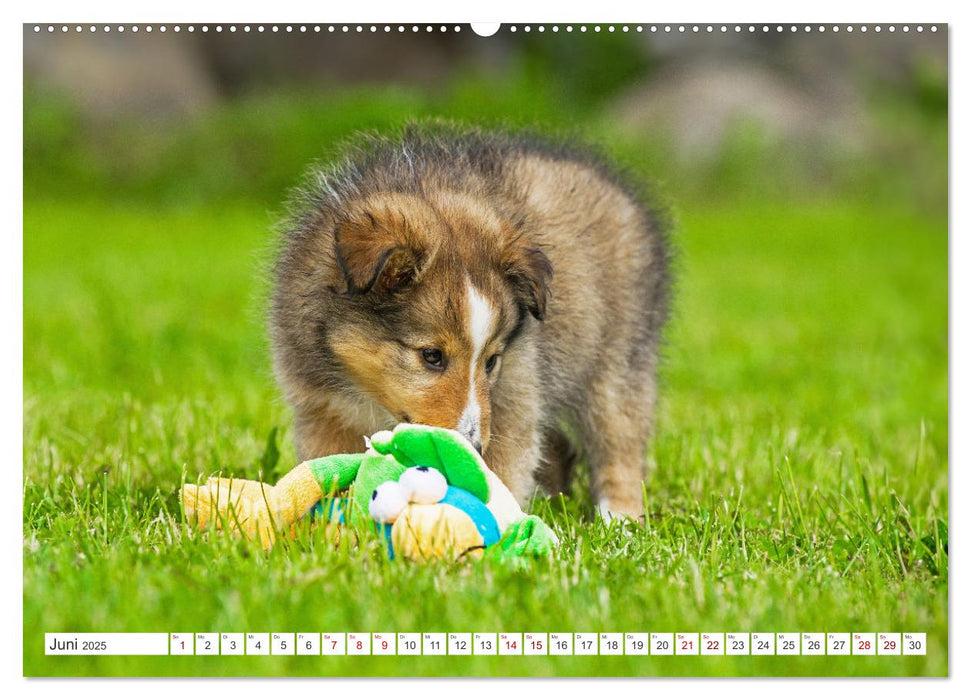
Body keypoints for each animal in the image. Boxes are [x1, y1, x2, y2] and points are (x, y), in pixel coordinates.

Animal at [270, 124, 672, 520]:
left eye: (492, 361)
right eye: (431, 355)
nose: (474, 447)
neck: (370, 394)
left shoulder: (515, 394)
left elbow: (505, 470)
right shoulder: (322, 409)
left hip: (617, 365)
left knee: (619, 443)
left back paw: (619, 517)